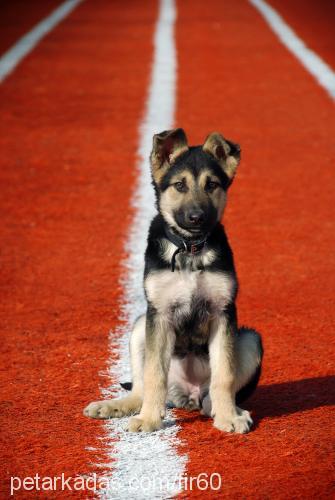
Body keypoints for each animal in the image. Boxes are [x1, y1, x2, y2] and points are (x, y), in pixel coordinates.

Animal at [84, 129, 262, 434]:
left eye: (212, 184)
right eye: (179, 185)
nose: (197, 218)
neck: (191, 249)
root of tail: (186, 394)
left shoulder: (224, 313)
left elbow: (224, 374)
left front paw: (228, 416)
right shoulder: (160, 314)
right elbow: (154, 373)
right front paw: (149, 420)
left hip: (250, 339)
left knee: (210, 394)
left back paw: (224, 408)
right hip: (141, 326)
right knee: (142, 388)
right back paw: (118, 406)